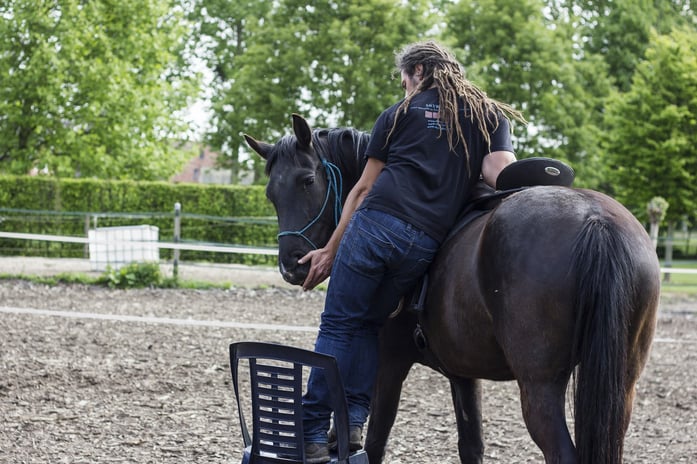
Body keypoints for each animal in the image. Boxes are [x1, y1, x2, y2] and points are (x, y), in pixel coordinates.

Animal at [244, 113, 660, 464]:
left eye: (307, 181)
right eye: (270, 194)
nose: (292, 264)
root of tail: (596, 220)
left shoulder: (388, 363)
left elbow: (377, 440)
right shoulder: (463, 373)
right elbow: (471, 446)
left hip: (540, 387)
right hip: (619, 387)